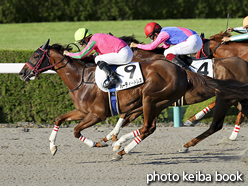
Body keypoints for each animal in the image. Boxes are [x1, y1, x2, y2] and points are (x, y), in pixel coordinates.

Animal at [19, 39, 248, 160]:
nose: (22, 73)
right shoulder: (84, 111)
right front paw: (52, 147)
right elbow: (59, 119)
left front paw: (99, 143)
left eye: (35, 56)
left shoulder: (97, 114)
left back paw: (125, 150)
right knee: (152, 127)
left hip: (153, 98)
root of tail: (182, 73)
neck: (81, 79)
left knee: (149, 127)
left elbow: (76, 131)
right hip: (161, 101)